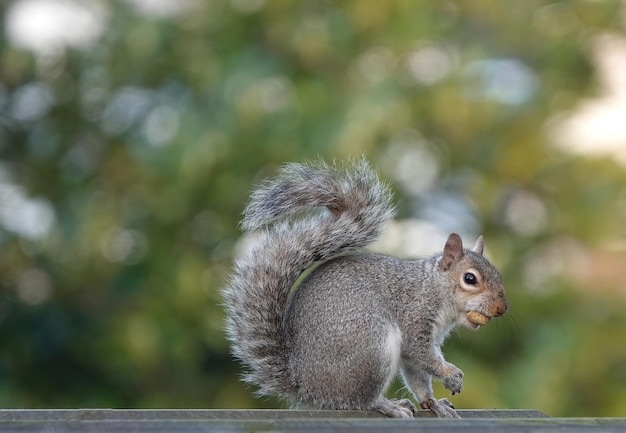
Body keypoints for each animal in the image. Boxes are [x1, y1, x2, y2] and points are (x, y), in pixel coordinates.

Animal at [222, 157, 504, 416]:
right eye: (470, 279)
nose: (501, 309)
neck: (434, 288)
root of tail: (307, 387)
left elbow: (417, 375)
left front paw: (433, 403)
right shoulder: (415, 317)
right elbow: (420, 354)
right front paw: (450, 374)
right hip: (371, 344)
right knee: (359, 401)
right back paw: (388, 405)